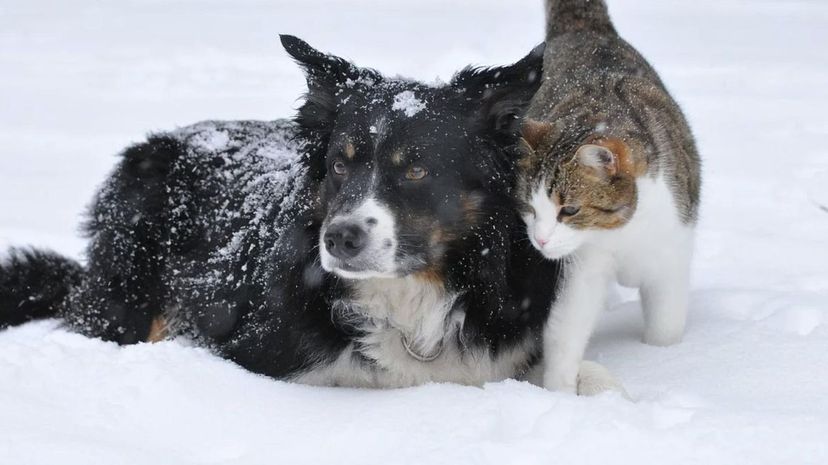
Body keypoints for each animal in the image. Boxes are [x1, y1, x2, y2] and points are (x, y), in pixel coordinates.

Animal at [516, 0, 704, 392]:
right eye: (528, 207)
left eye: (569, 210)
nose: (540, 241)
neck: (623, 232)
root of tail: (585, 29)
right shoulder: (583, 265)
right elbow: (565, 327)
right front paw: (558, 391)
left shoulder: (672, 252)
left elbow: (666, 325)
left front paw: (666, 360)